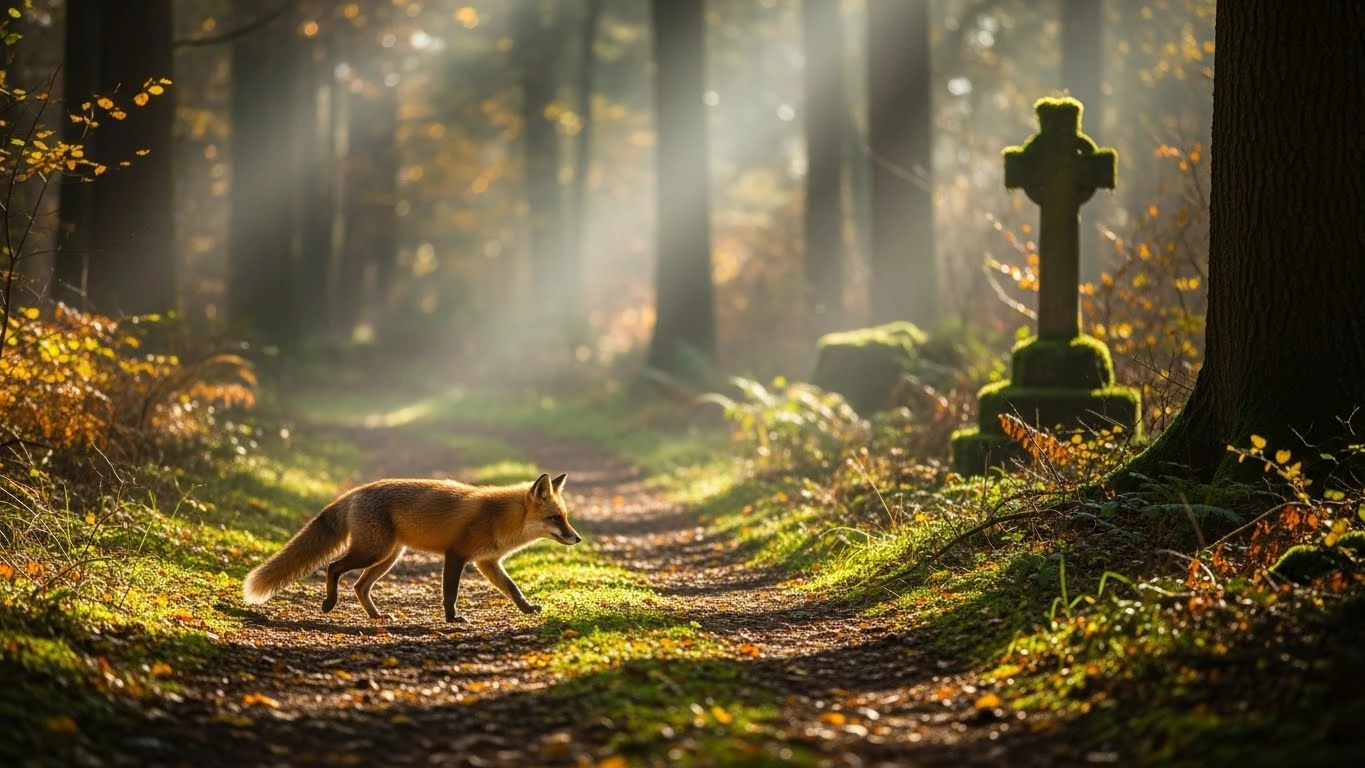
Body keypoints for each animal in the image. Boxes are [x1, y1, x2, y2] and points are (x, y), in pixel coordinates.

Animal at [242, 472, 581, 622]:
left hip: (388, 557)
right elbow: (450, 592)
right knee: (333, 567)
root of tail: (357, 491)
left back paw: (377, 616)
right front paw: (452, 618)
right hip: (373, 552)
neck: (500, 519)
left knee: (360, 586)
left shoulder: (487, 562)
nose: (577, 538)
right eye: (556, 518)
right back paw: (329, 603)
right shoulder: (457, 555)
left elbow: (513, 589)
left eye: (565, 517)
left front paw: (528, 609)